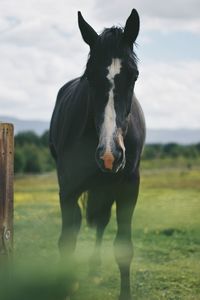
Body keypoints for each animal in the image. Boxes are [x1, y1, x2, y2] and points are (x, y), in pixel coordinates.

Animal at [48, 8, 145, 298]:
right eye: (89, 76)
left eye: (134, 76)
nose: (110, 156)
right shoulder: (68, 189)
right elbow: (67, 240)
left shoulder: (129, 187)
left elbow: (124, 246)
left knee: (101, 222)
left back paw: (94, 269)